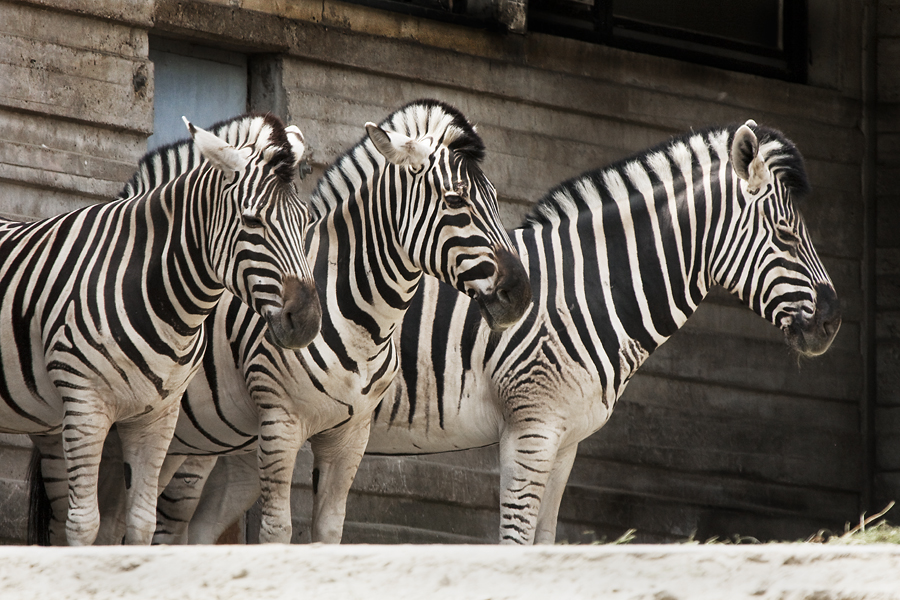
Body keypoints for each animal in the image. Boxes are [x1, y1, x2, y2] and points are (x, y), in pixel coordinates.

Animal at [10, 113, 322, 548]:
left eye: (307, 222)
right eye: (252, 220)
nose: (307, 320)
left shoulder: (158, 417)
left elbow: (141, 524)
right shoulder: (86, 405)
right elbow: (85, 525)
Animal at [91, 97, 532, 544]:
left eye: (495, 199)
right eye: (455, 201)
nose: (521, 295)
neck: (364, 322)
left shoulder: (349, 434)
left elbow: (329, 530)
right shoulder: (280, 422)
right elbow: (278, 530)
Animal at [167, 119, 844, 548]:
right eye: (787, 235)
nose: (834, 321)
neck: (584, 293)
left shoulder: (567, 440)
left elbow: (543, 541)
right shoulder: (532, 426)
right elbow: (512, 538)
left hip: (240, 431)